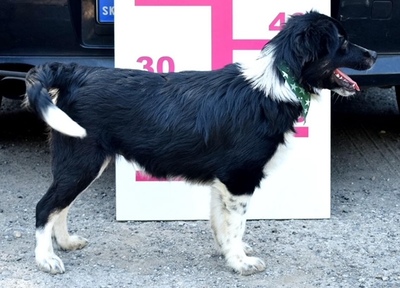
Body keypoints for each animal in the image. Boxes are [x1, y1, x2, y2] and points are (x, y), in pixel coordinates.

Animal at [26, 11, 376, 276]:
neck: (278, 82)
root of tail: (74, 72)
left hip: (82, 163)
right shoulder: (239, 179)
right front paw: (241, 263)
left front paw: (229, 252)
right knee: (46, 206)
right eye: (343, 42)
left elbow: (222, 222)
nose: (373, 54)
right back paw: (46, 259)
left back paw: (66, 242)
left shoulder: (224, 181)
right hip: (82, 161)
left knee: (61, 206)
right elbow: (237, 224)